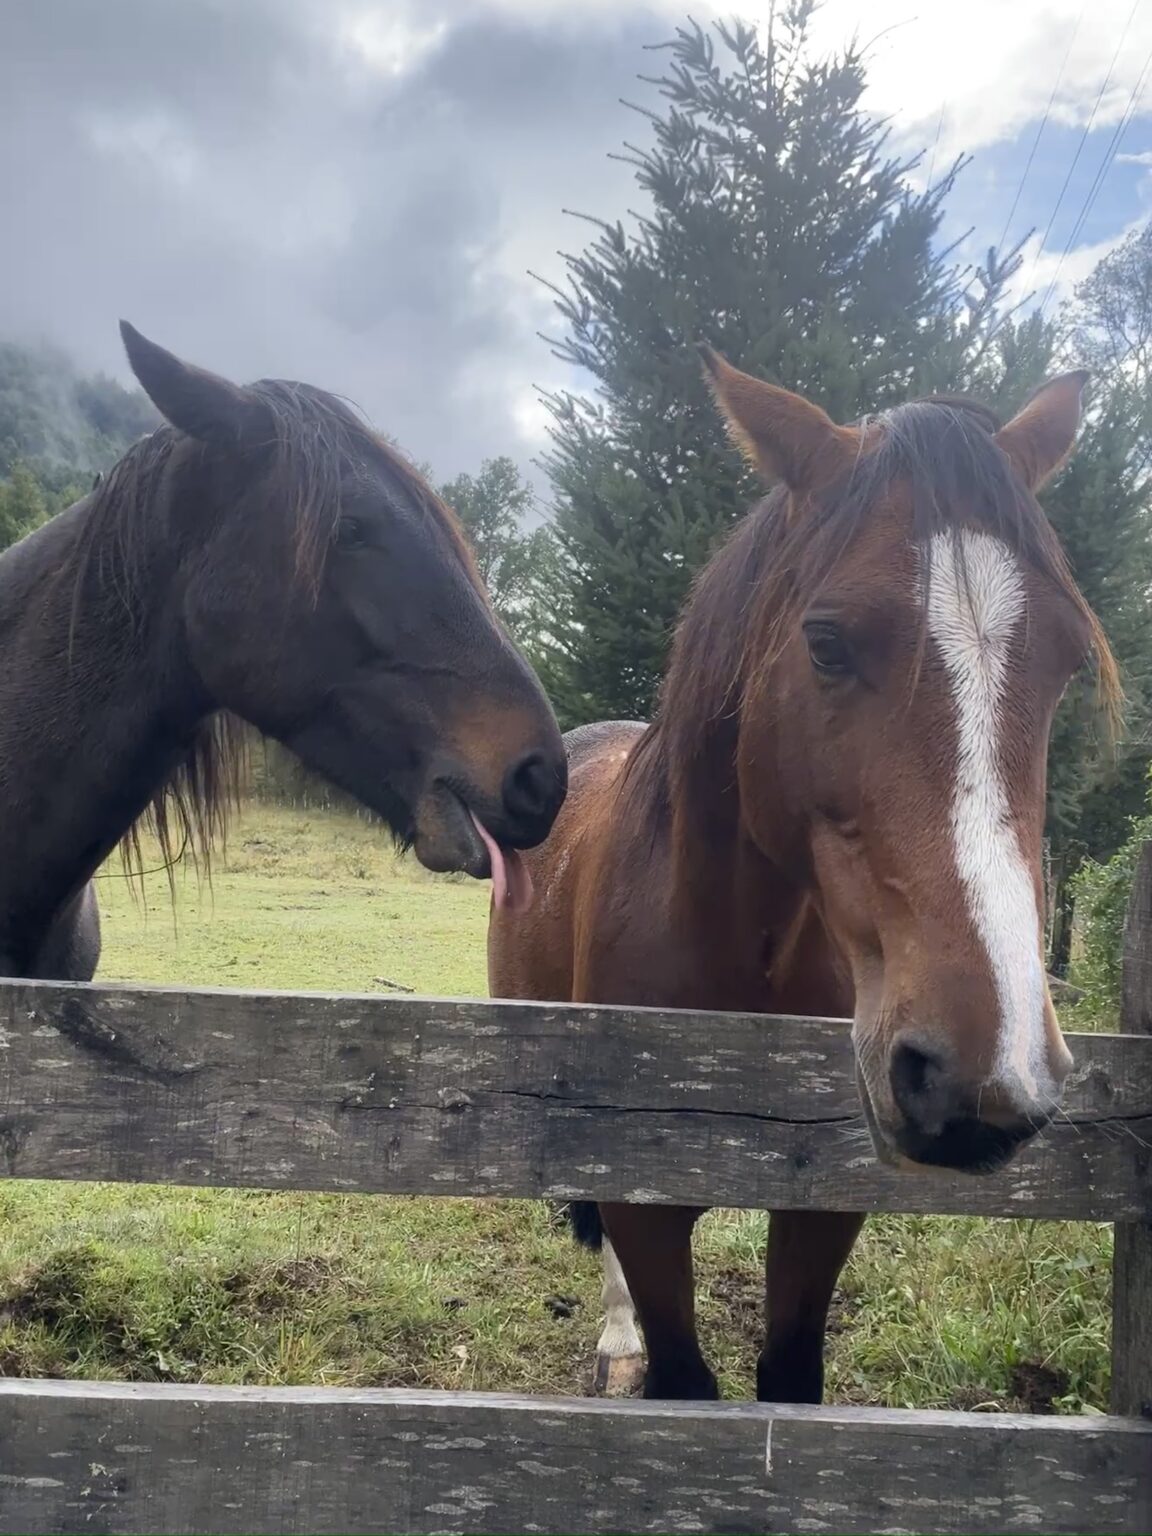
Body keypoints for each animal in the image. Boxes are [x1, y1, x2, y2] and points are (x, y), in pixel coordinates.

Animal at [490, 347, 1116, 1404]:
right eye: (826, 642)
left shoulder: (820, 1206)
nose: (987, 1077)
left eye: (1069, 660)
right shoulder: (645, 1193)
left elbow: (789, 1380)